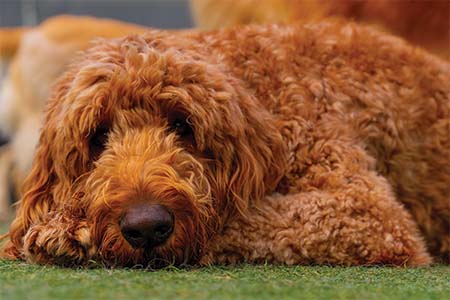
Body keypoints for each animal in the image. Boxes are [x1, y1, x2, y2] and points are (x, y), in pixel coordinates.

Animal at [0, 19, 450, 266]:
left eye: (182, 125)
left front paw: (64, 232)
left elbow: (236, 219)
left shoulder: (368, 214)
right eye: (98, 135)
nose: (146, 227)